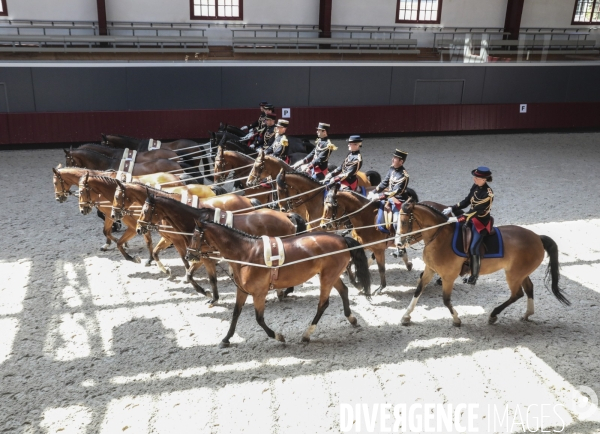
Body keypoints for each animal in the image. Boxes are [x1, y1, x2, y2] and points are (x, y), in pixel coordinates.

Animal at [136, 192, 304, 304]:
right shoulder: (201, 256)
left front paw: (208, 294)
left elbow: (199, 276)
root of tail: (286, 216)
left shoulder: (203, 257)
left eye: (146, 210)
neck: (197, 225)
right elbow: (201, 277)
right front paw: (212, 296)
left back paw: (285, 291)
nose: (138, 228)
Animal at [182, 219, 370, 348]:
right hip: (331, 276)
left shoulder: (259, 294)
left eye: (195, 236)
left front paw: (278, 336)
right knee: (344, 291)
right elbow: (235, 314)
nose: (188, 255)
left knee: (323, 304)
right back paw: (352, 319)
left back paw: (307, 334)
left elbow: (259, 319)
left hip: (327, 278)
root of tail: (342, 239)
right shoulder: (242, 291)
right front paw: (226, 339)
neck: (246, 254)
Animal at [396, 200, 568, 326]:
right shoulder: (430, 270)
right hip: (520, 273)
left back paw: (493, 315)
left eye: (404, 222)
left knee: (517, 293)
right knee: (529, 288)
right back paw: (527, 314)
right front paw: (406, 316)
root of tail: (537, 237)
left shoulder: (448, 276)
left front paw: (456, 319)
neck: (439, 237)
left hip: (513, 275)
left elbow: (445, 300)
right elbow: (418, 290)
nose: (398, 243)